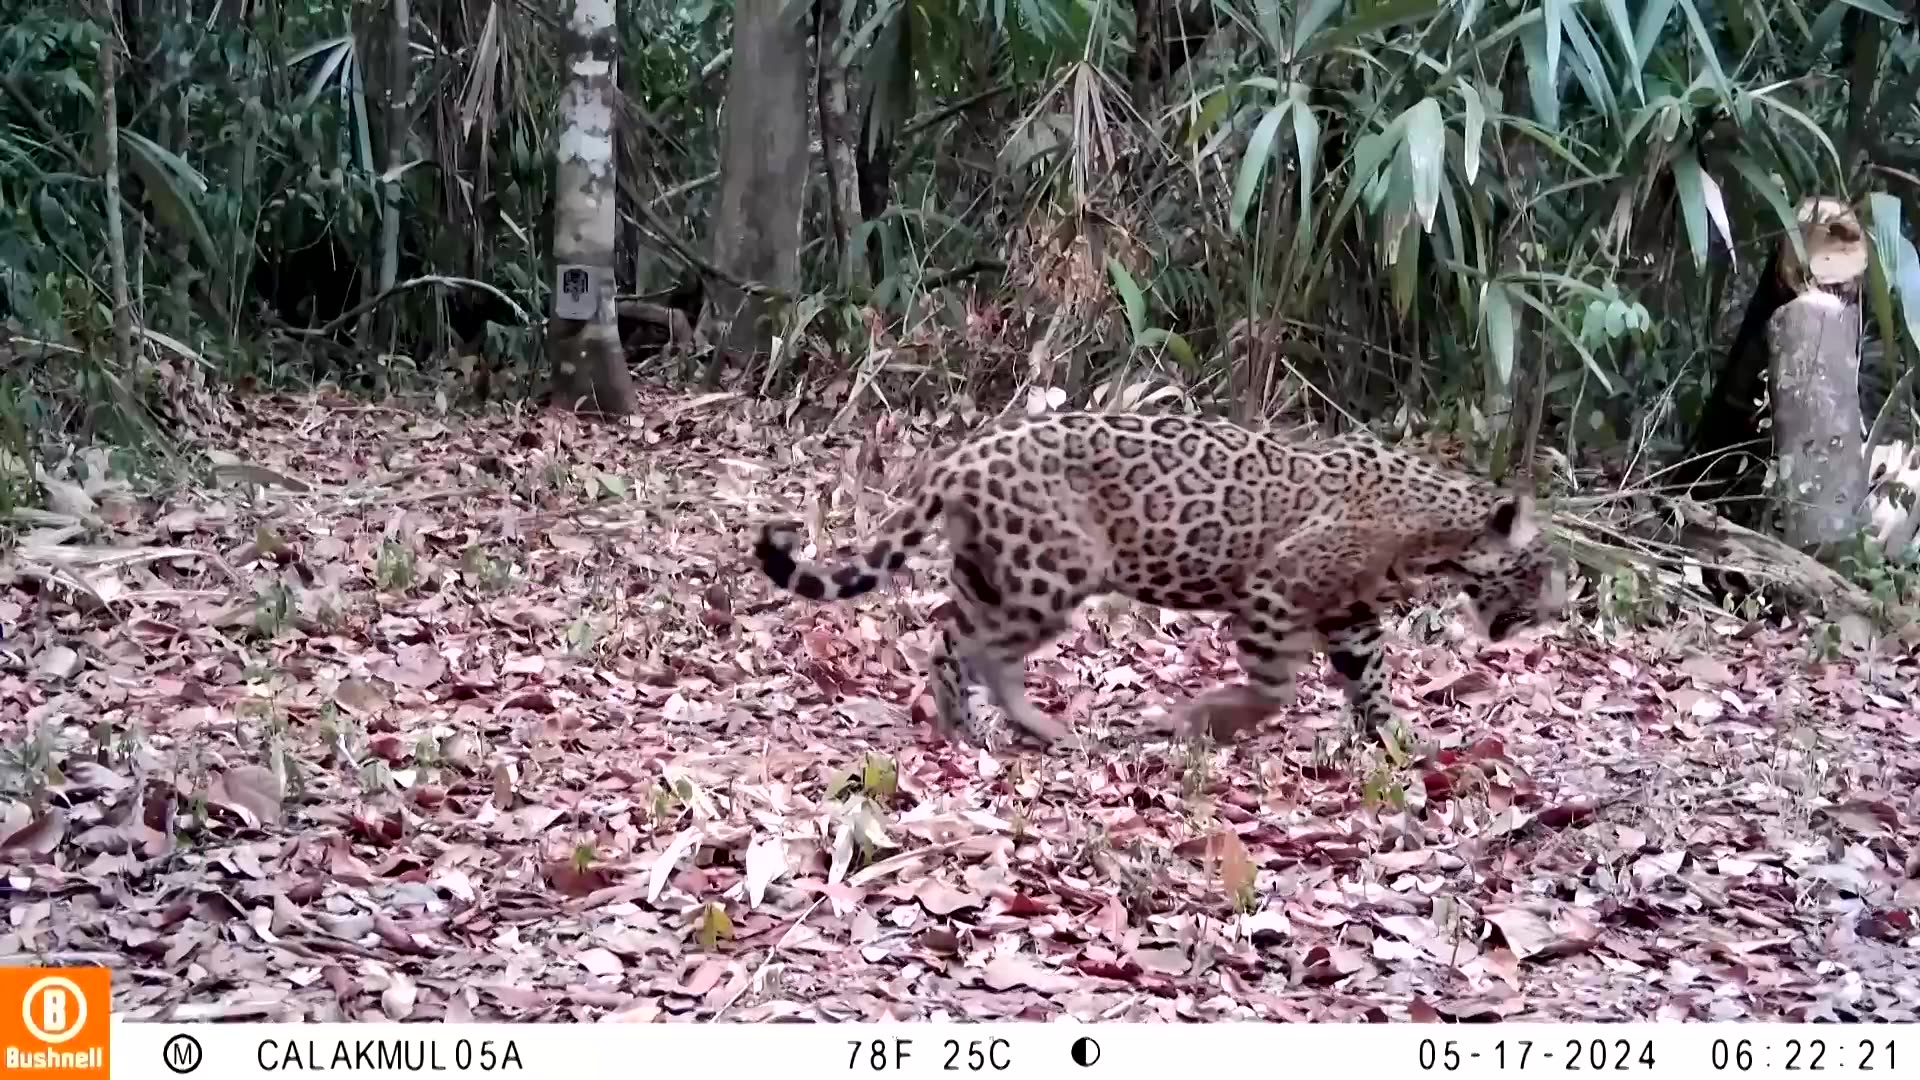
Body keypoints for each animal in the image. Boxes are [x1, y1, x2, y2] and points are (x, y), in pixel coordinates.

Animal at [753, 410, 1567, 753]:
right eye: (1545, 569)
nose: (1561, 610)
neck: (1436, 531)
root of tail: (962, 453)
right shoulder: (1273, 591)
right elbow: (1274, 689)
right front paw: (1200, 719)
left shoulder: (1350, 614)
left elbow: (1370, 679)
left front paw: (1399, 740)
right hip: (1056, 568)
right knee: (990, 649)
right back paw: (1038, 728)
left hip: (990, 569)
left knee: (951, 636)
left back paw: (962, 724)